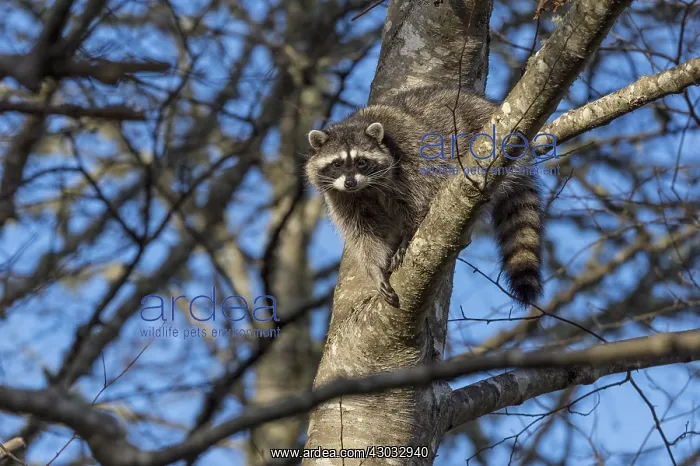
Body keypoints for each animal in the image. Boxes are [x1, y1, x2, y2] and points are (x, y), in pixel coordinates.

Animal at [305, 84, 543, 308]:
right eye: (337, 164)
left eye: (361, 162)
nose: (350, 182)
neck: (366, 187)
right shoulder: (342, 198)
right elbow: (363, 233)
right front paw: (375, 269)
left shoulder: (412, 155)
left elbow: (422, 197)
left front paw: (408, 235)